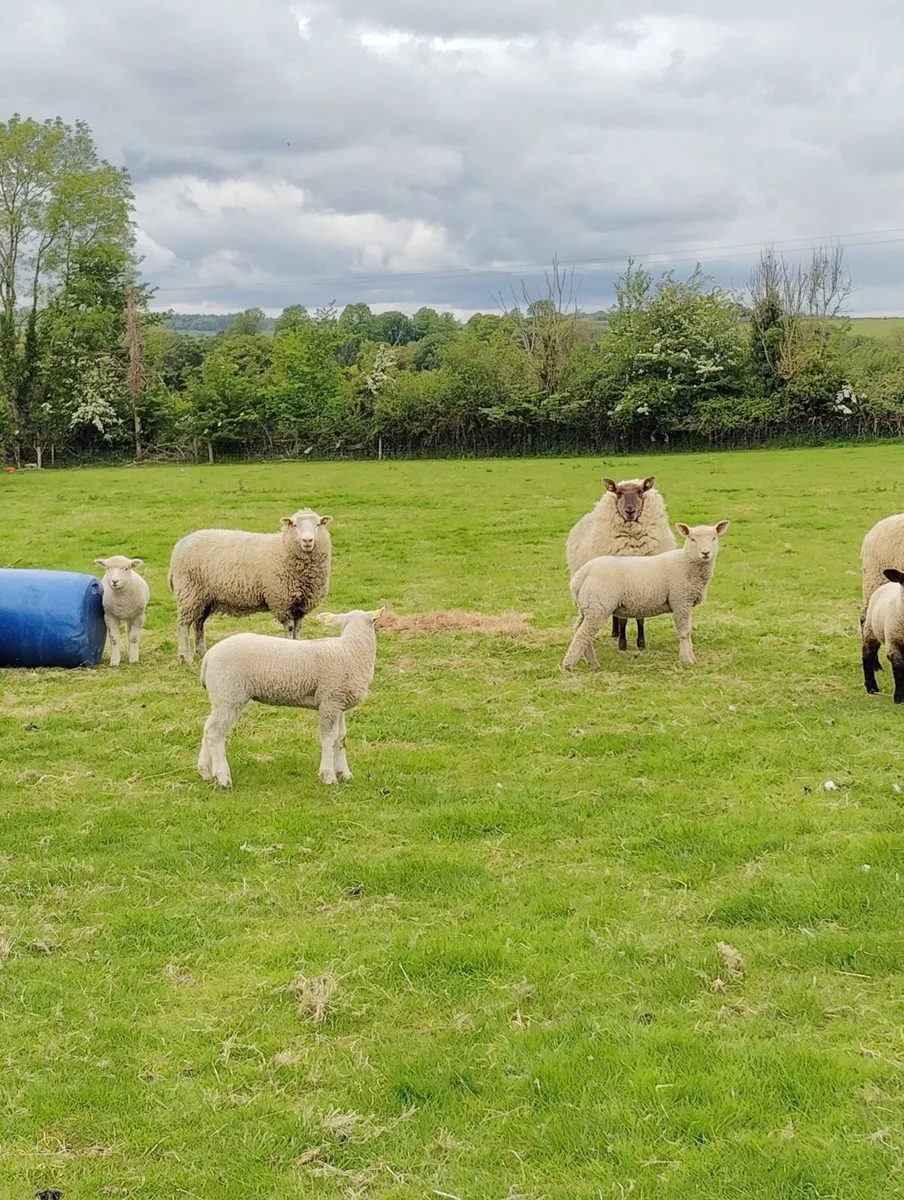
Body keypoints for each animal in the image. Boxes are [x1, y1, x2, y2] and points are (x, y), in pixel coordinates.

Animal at [168, 508, 332, 663]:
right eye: (295, 525)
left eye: (318, 524)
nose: (307, 540)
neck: (284, 548)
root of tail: (181, 543)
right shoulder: (281, 601)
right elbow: (290, 628)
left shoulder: (300, 604)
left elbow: (297, 628)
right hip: (189, 592)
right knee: (184, 624)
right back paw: (185, 657)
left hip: (205, 598)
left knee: (199, 624)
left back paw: (201, 652)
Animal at [197, 606, 383, 788]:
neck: (350, 650)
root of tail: (208, 657)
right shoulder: (329, 701)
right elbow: (329, 738)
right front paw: (328, 776)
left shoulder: (339, 703)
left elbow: (341, 737)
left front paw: (344, 774)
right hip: (229, 695)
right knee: (215, 733)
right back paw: (222, 778)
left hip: (221, 697)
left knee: (208, 728)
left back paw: (205, 772)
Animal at [563, 521, 730, 669]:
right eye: (692, 539)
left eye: (714, 538)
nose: (705, 553)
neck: (686, 562)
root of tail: (583, 573)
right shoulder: (680, 601)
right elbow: (684, 632)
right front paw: (686, 660)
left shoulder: (686, 603)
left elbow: (688, 631)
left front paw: (692, 657)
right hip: (598, 605)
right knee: (583, 634)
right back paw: (569, 665)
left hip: (587, 605)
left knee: (580, 630)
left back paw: (592, 662)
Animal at [566, 476, 676, 653]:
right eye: (618, 493)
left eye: (640, 492)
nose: (630, 511)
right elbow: (622, 618)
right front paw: (622, 644)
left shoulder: (643, 586)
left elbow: (640, 618)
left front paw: (641, 643)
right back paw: (615, 632)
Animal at [861, 568, 904, 702]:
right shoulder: (893, 643)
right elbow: (899, 667)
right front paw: (899, 698)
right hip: (870, 631)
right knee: (867, 656)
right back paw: (871, 688)